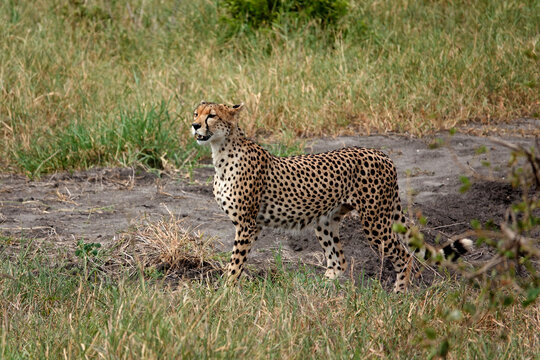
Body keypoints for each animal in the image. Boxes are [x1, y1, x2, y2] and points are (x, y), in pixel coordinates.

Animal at [191, 101, 472, 292]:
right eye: (196, 113)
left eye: (211, 115)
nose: (194, 126)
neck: (221, 151)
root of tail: (382, 153)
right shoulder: (250, 224)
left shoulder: (248, 224)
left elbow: (236, 261)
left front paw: (225, 291)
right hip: (325, 221)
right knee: (339, 261)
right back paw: (320, 291)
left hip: (375, 221)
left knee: (404, 256)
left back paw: (399, 294)